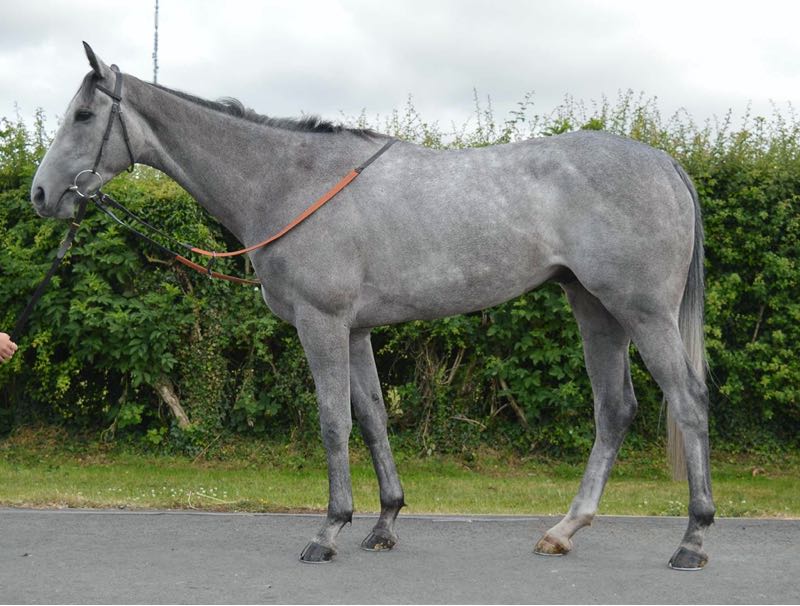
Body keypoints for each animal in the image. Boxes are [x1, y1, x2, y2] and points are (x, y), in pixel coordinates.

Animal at [30, 43, 714, 569]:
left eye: (85, 114)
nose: (40, 194)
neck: (290, 180)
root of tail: (666, 162)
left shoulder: (322, 324)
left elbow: (333, 422)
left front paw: (329, 528)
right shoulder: (356, 331)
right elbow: (374, 418)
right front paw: (384, 523)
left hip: (642, 314)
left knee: (687, 402)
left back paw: (693, 539)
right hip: (595, 310)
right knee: (615, 411)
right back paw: (564, 530)